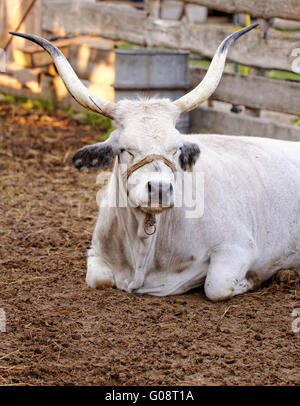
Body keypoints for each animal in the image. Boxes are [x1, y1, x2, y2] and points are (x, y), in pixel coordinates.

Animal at [10, 23, 298, 300]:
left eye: (176, 149)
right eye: (124, 149)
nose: (160, 189)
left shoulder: (236, 247)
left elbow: (216, 286)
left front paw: (254, 279)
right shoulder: (96, 254)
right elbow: (98, 279)